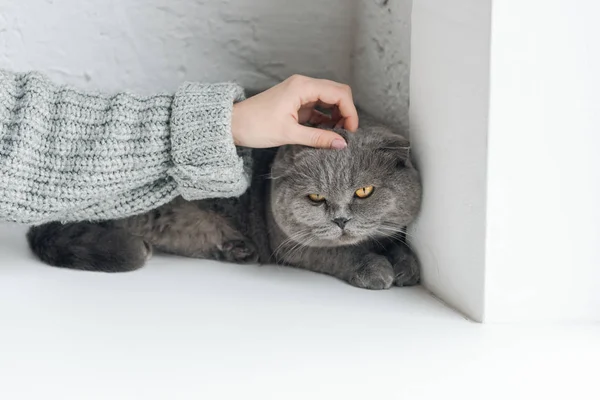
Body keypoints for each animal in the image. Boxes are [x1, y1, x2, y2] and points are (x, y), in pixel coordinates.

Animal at [27, 120, 422, 290]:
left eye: (364, 191)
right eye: (315, 198)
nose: (340, 220)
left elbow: (395, 243)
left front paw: (407, 266)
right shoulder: (292, 246)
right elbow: (342, 253)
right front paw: (377, 269)